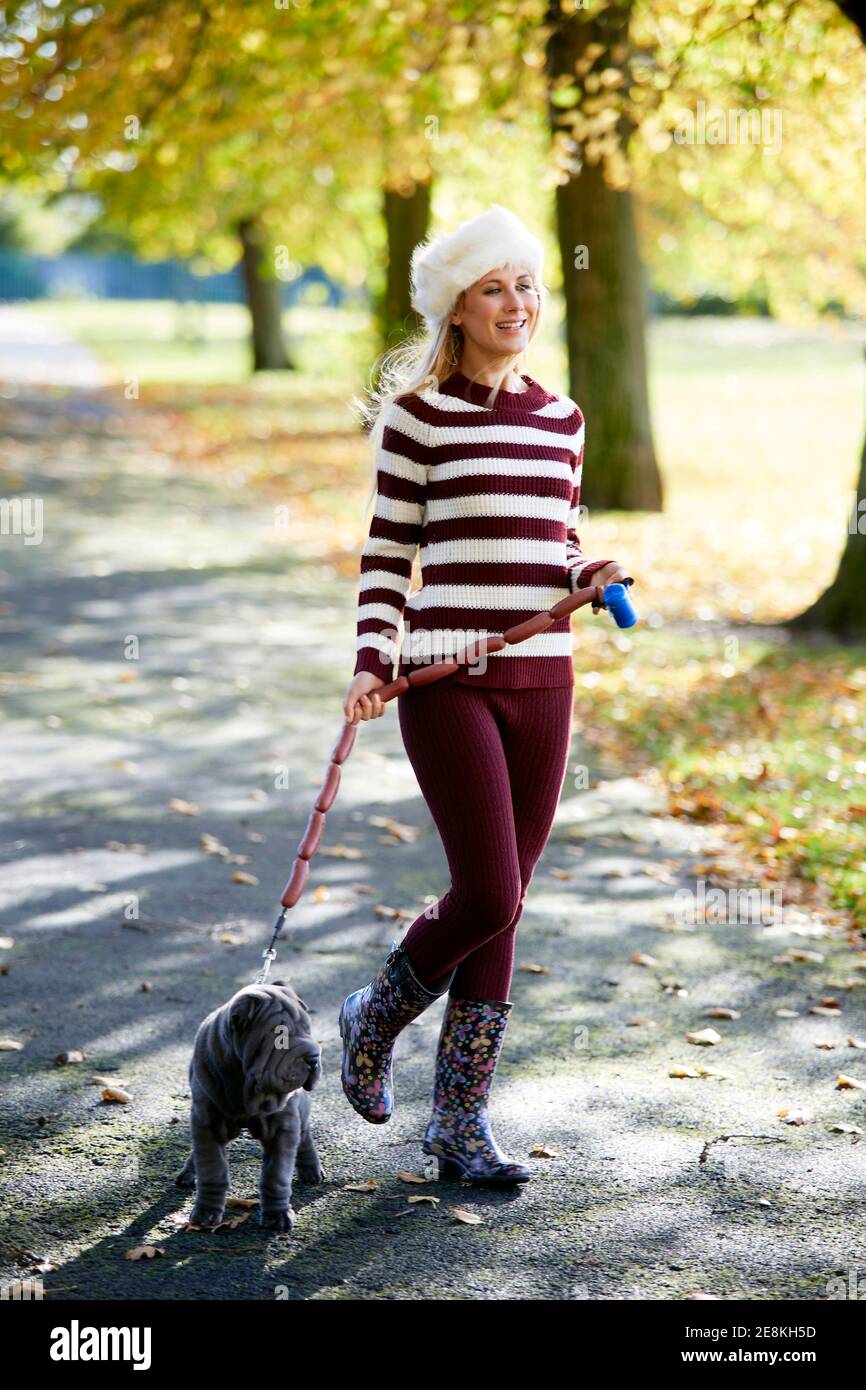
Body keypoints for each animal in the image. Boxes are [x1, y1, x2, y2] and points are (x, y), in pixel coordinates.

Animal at [176, 978, 325, 1228]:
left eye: (308, 1029)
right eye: (280, 1036)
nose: (314, 1058)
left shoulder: (283, 1126)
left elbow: (276, 1174)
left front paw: (277, 1215)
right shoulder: (207, 1121)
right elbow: (212, 1168)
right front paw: (206, 1211)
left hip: (301, 1109)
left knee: (304, 1137)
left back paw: (312, 1170)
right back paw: (188, 1172)